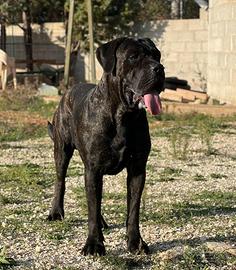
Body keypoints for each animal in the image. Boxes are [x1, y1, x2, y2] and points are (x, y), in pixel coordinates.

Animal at [47, 37, 165, 255]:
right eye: (133, 57)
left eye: (157, 55)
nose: (159, 68)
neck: (123, 116)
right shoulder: (93, 169)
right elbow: (92, 206)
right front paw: (94, 244)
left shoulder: (137, 170)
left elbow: (132, 209)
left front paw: (136, 243)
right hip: (62, 150)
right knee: (61, 181)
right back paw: (56, 212)